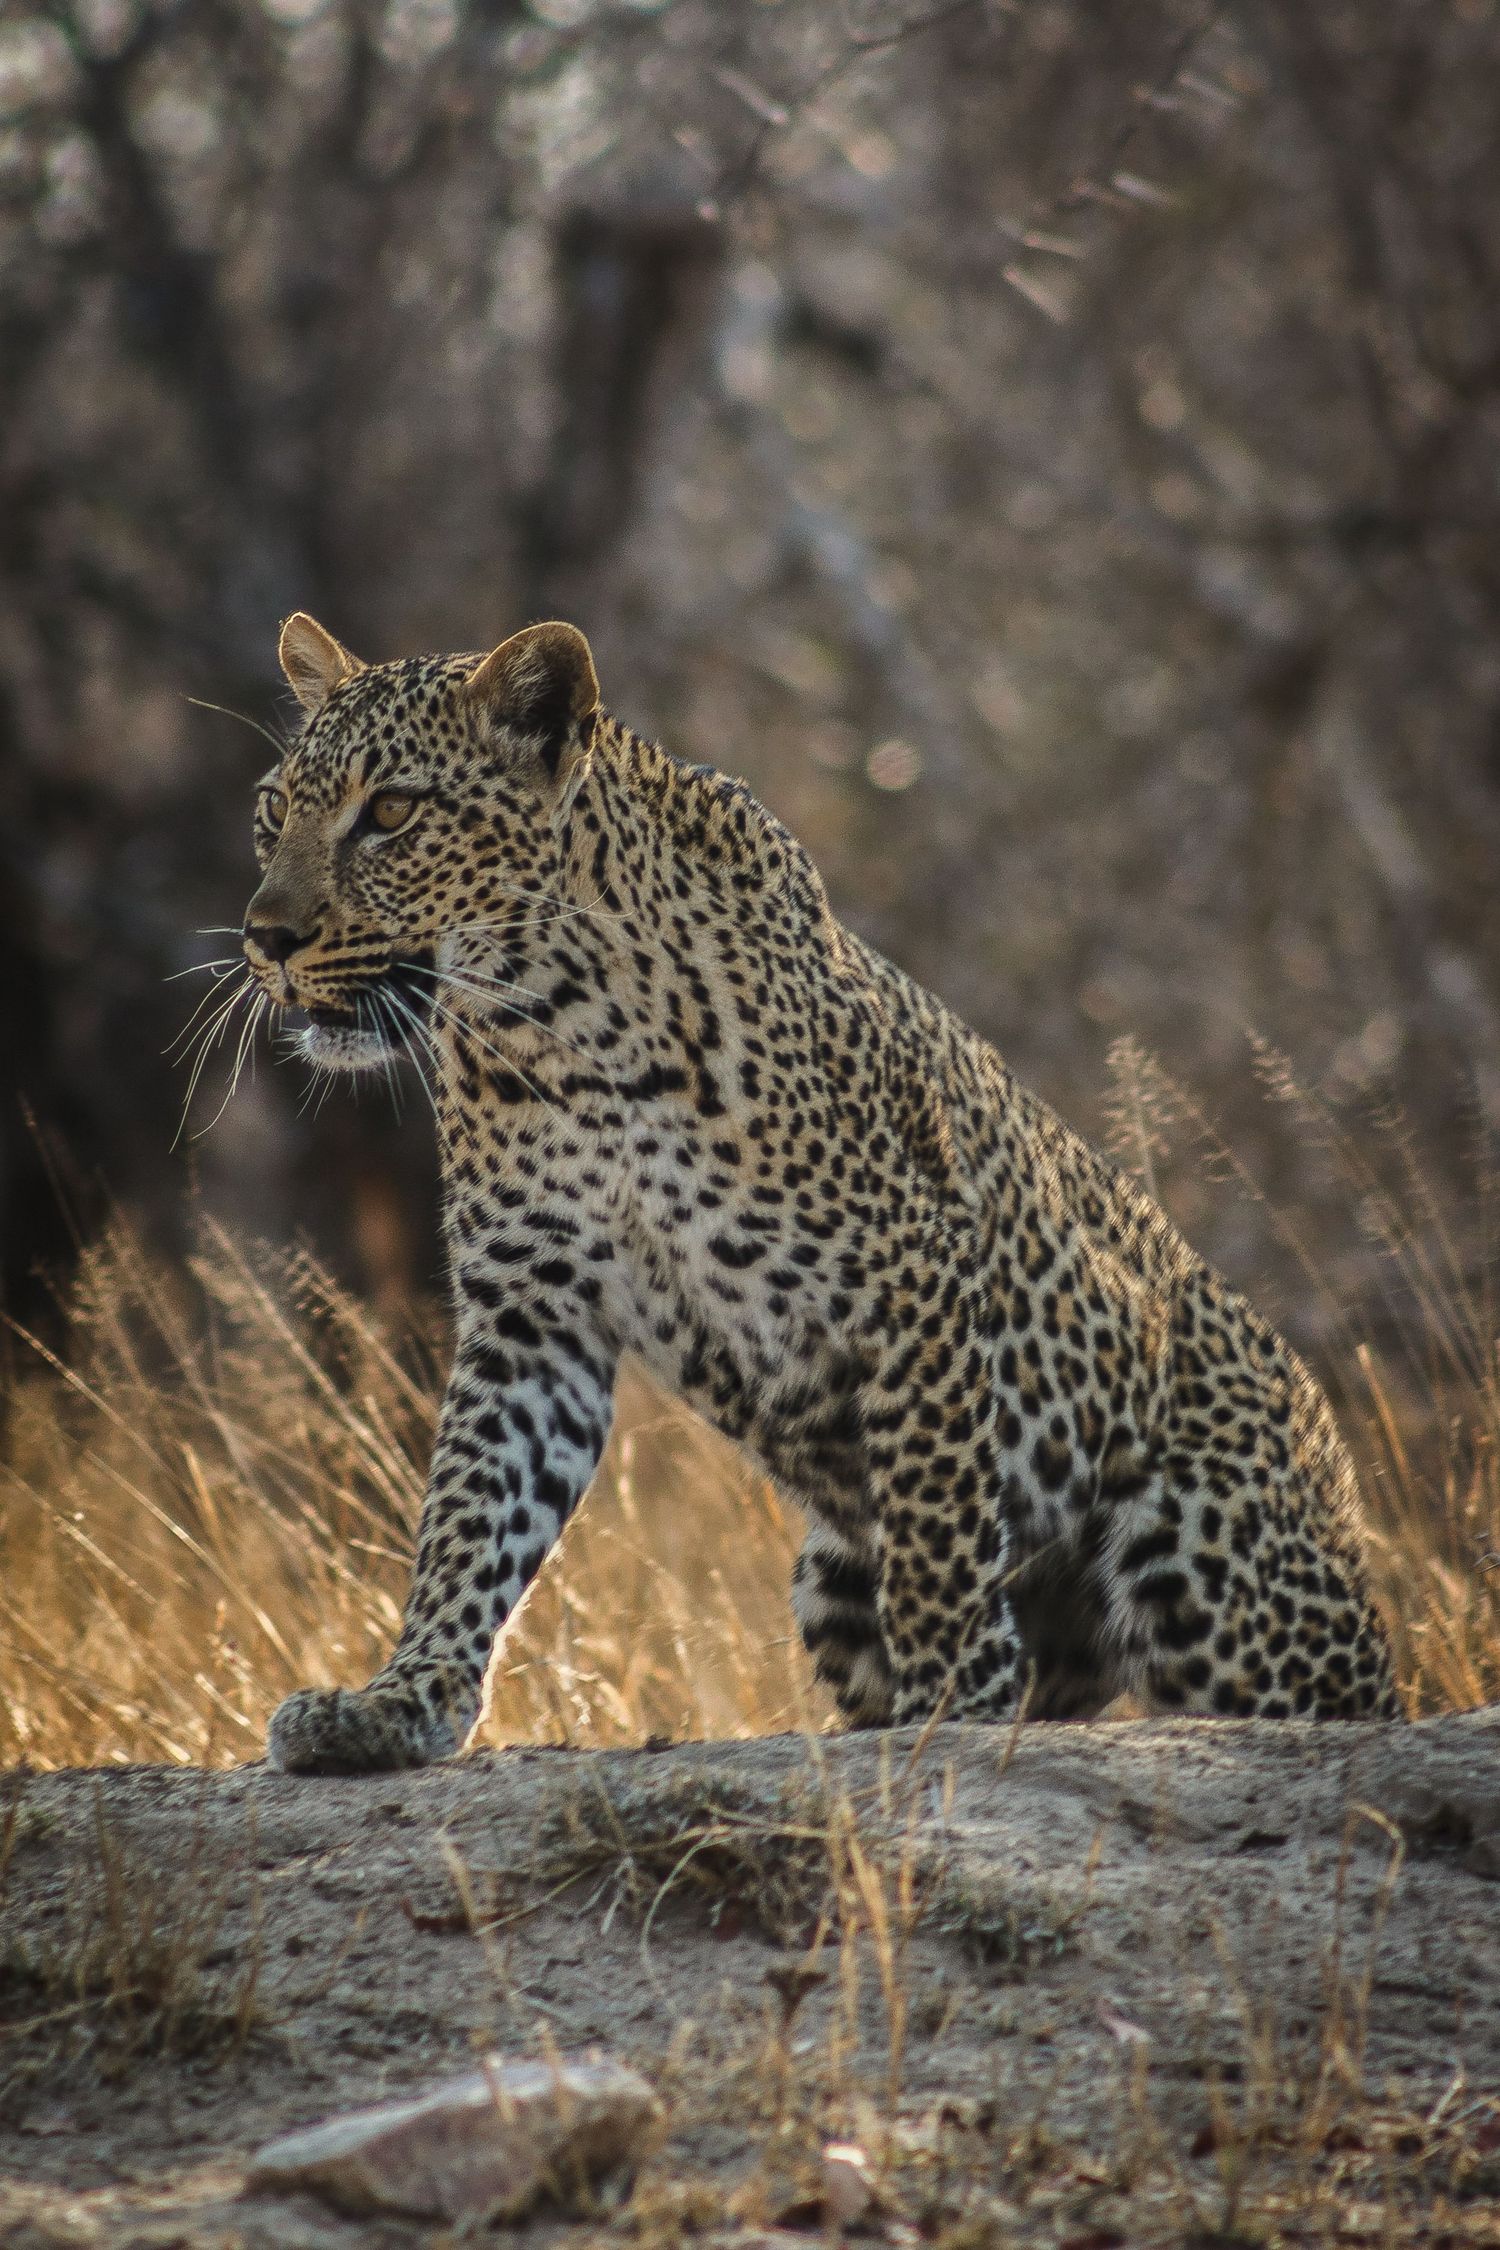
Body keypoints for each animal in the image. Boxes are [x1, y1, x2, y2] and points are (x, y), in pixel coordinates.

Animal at [240, 610, 1402, 1775]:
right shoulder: (533, 1318)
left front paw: (953, 1699)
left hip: (1211, 1565)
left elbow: (938, 1523)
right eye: (273, 814)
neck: (554, 1028)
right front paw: (397, 1700)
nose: (266, 939)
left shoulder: (912, 1277)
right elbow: (471, 1515)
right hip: (833, 1581)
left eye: (392, 813)